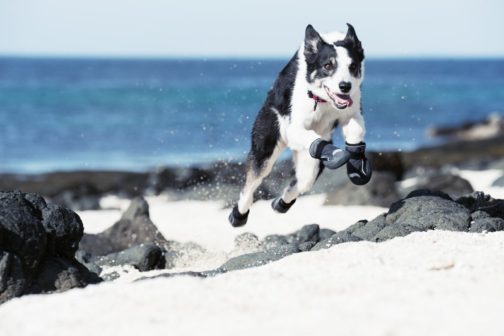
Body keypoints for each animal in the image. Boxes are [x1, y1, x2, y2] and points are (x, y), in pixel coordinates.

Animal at [228, 23, 370, 227]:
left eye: (353, 66)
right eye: (328, 65)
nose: (345, 86)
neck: (322, 100)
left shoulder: (352, 112)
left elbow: (355, 129)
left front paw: (357, 162)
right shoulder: (294, 128)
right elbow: (313, 137)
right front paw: (334, 153)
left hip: (310, 165)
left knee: (302, 182)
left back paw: (281, 203)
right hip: (266, 146)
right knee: (251, 184)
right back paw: (238, 215)